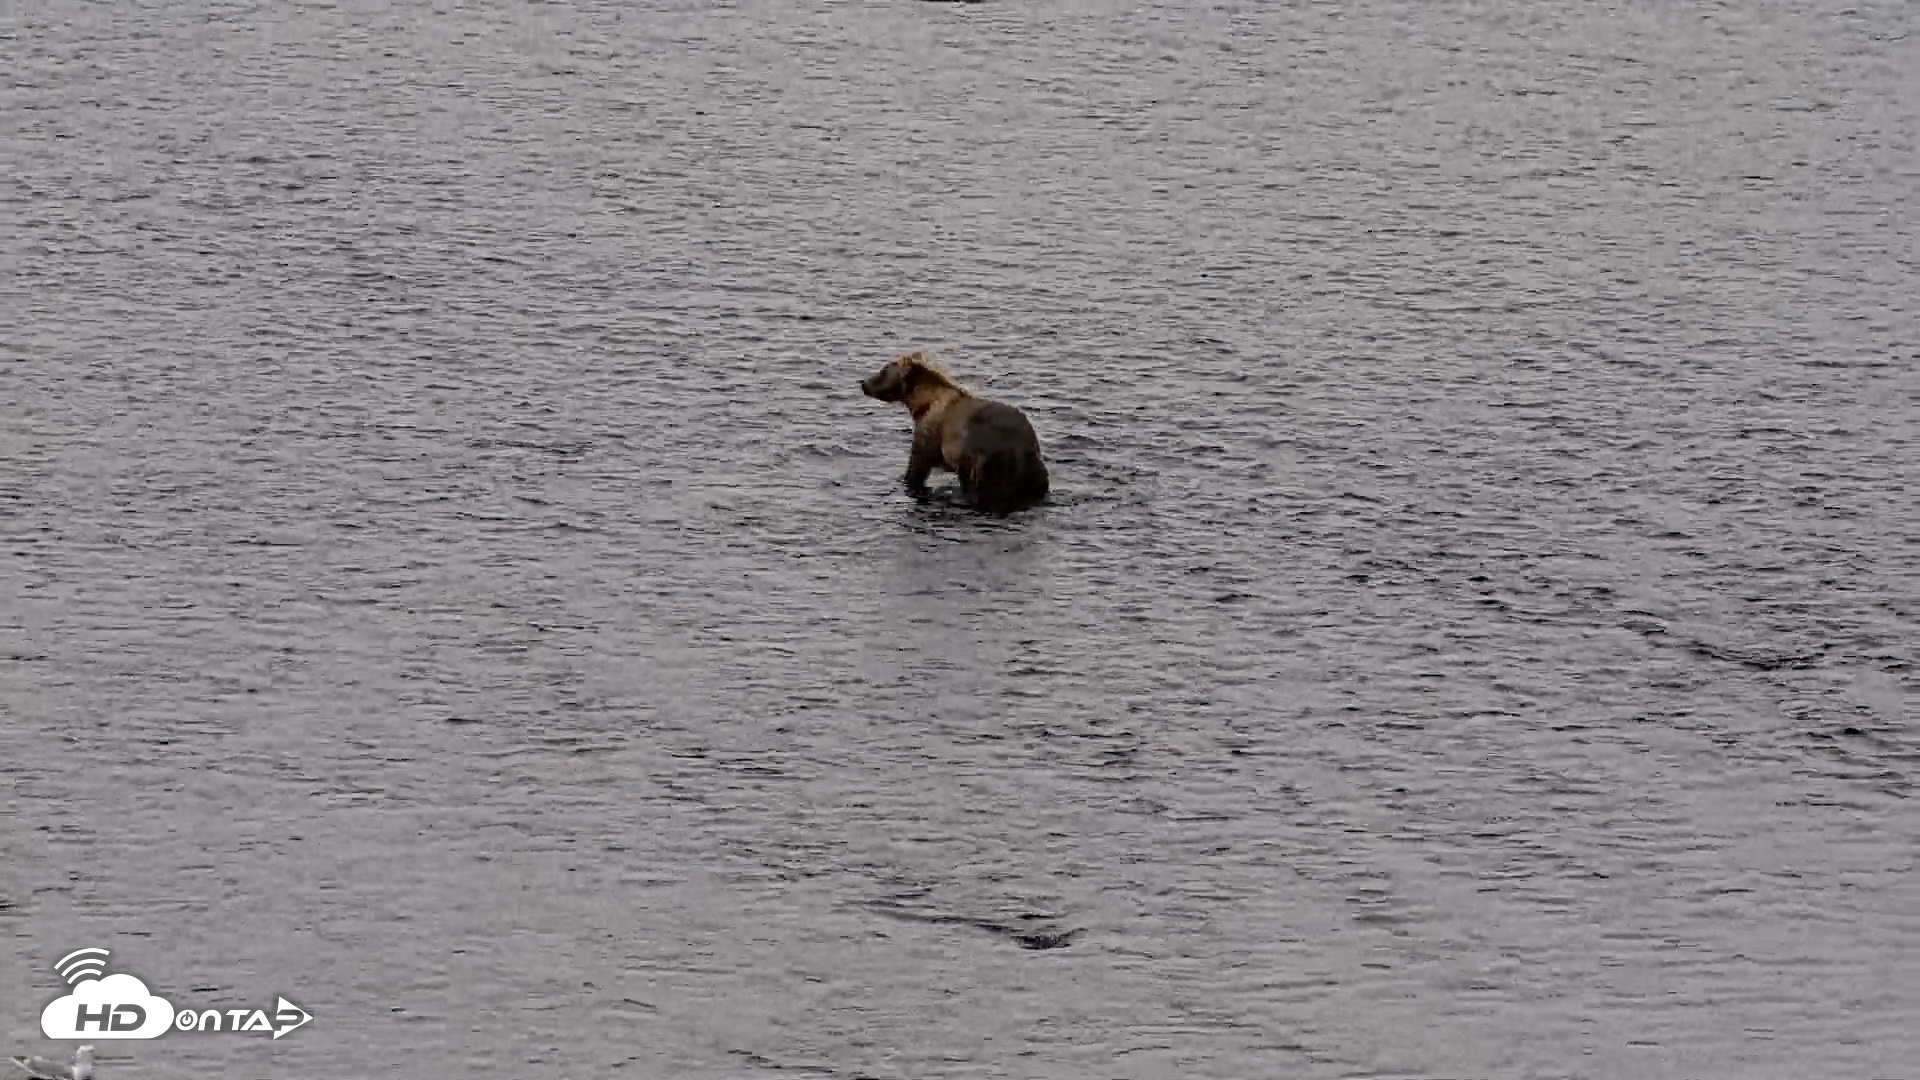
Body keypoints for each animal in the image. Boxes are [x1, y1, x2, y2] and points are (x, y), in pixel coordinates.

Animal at [860, 352, 1049, 515]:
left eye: (883, 370)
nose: (863, 383)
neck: (923, 403)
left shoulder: (931, 431)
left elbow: (917, 464)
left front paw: (904, 480)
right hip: (1031, 464)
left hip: (985, 457)